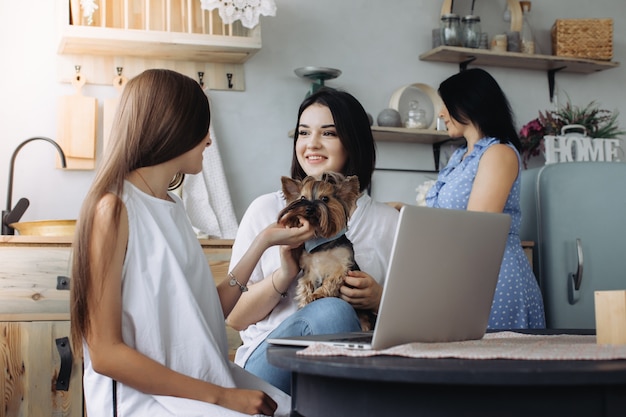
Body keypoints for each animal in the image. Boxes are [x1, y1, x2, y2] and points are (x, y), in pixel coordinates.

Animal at [276, 171, 372, 330]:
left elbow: (331, 280)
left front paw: (317, 295)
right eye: (303, 198)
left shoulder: (342, 266)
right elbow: (305, 285)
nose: (309, 208)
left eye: (325, 199)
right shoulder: (309, 270)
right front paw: (305, 301)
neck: (320, 241)